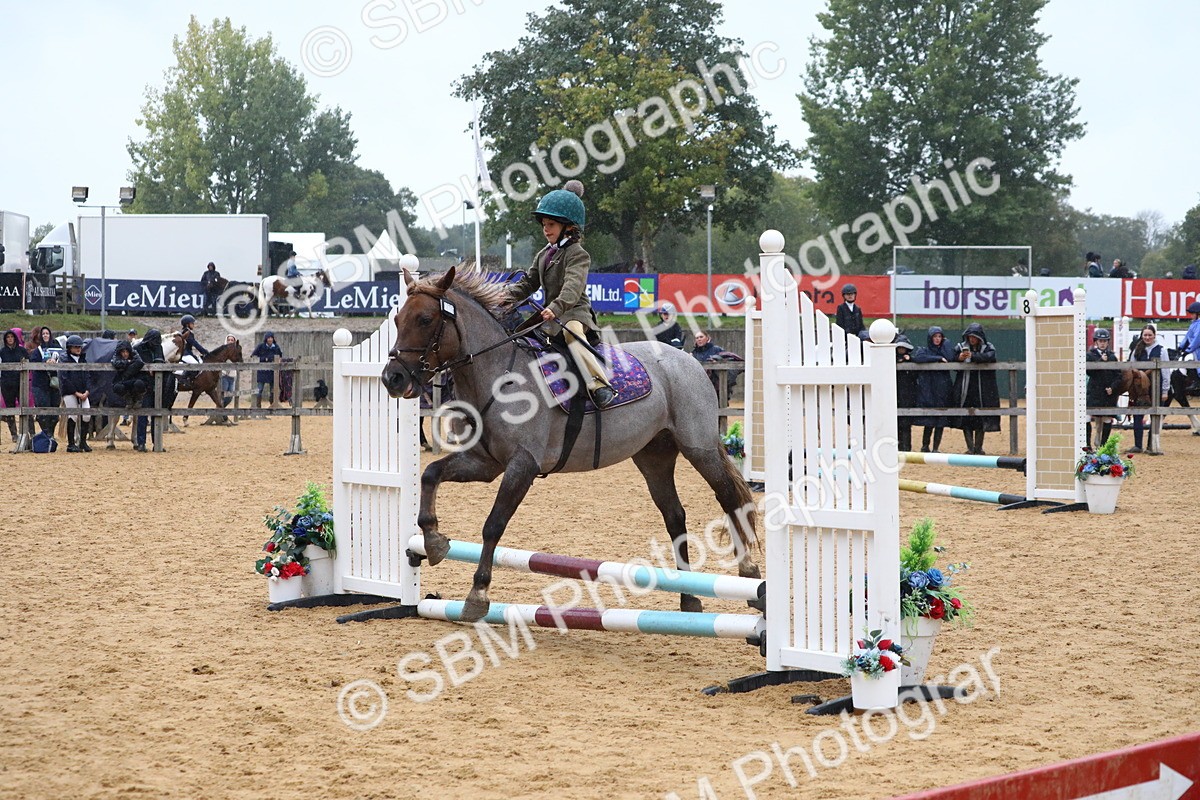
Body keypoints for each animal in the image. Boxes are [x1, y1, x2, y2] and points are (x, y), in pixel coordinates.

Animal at [381, 266, 760, 623]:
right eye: (397, 319)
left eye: (425, 319)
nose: (392, 378)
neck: (497, 377)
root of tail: (688, 359)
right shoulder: (484, 463)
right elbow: (430, 474)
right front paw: (433, 541)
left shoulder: (523, 465)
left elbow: (493, 525)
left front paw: (477, 595)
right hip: (654, 456)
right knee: (675, 516)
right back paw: (688, 597)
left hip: (698, 448)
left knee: (728, 497)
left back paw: (750, 574)